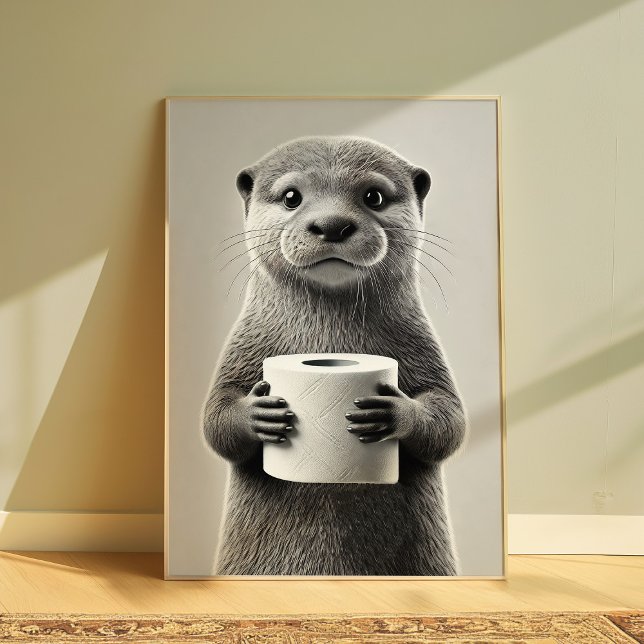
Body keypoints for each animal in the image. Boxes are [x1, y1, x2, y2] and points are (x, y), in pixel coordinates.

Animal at [203, 136, 467, 576]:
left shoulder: (423, 346)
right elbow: (215, 420)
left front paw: (393, 413)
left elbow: (449, 420)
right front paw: (257, 413)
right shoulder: (243, 345)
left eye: (373, 196)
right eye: (291, 197)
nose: (331, 225)